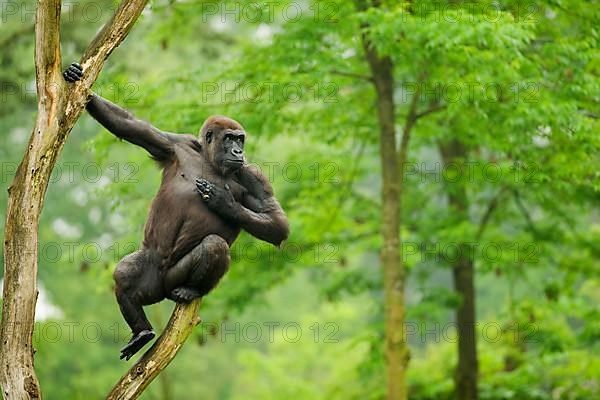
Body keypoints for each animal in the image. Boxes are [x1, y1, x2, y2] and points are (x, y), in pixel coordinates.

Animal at [64, 61, 290, 360]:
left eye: (240, 140)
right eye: (230, 138)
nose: (238, 151)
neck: (211, 160)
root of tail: (162, 289)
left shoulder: (253, 174)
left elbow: (276, 222)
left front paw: (224, 202)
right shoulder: (174, 143)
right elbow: (130, 126)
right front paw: (81, 85)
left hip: (172, 280)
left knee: (214, 245)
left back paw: (189, 290)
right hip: (151, 273)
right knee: (126, 272)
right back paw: (142, 331)